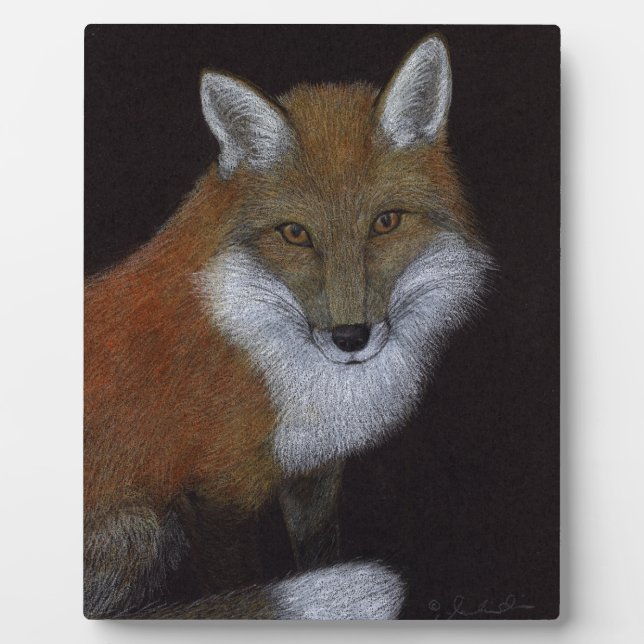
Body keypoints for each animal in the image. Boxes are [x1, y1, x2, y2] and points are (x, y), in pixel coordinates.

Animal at [84, 33, 493, 619]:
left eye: (386, 222)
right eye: (295, 233)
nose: (350, 338)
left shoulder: (313, 470)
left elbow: (318, 551)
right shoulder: (213, 495)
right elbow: (237, 583)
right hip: (143, 527)